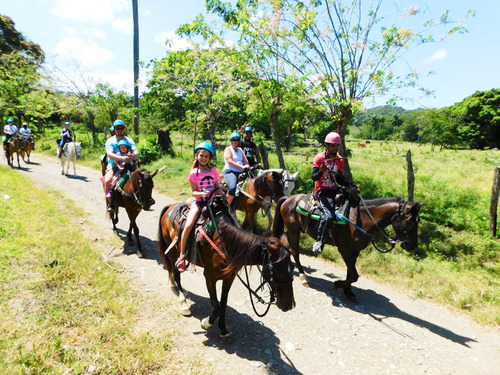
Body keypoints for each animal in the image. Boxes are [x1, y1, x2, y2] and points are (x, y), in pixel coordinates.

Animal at [158, 194, 294, 340]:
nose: (289, 305)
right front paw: (205, 323)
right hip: (174, 253)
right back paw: (184, 304)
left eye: (292, 271)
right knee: (176, 274)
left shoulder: (229, 278)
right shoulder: (210, 277)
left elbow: (223, 304)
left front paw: (223, 329)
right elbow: (216, 306)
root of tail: (170, 207)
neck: (226, 243)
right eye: (277, 272)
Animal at [274, 194, 422, 302]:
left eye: (418, 220)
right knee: (295, 252)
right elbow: (355, 275)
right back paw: (303, 277)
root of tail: (290, 198)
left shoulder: (355, 250)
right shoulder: (344, 249)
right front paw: (338, 284)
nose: (412, 246)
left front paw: (348, 291)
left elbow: (350, 273)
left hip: (293, 230)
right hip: (294, 230)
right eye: (409, 220)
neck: (362, 219)